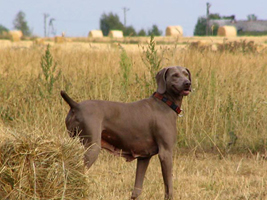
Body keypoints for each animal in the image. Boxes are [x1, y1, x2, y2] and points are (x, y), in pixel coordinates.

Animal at [60, 65, 192, 198]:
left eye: (186, 74)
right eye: (175, 75)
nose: (188, 83)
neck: (165, 102)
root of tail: (76, 106)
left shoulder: (144, 157)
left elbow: (137, 189)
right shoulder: (166, 153)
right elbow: (169, 186)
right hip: (92, 147)